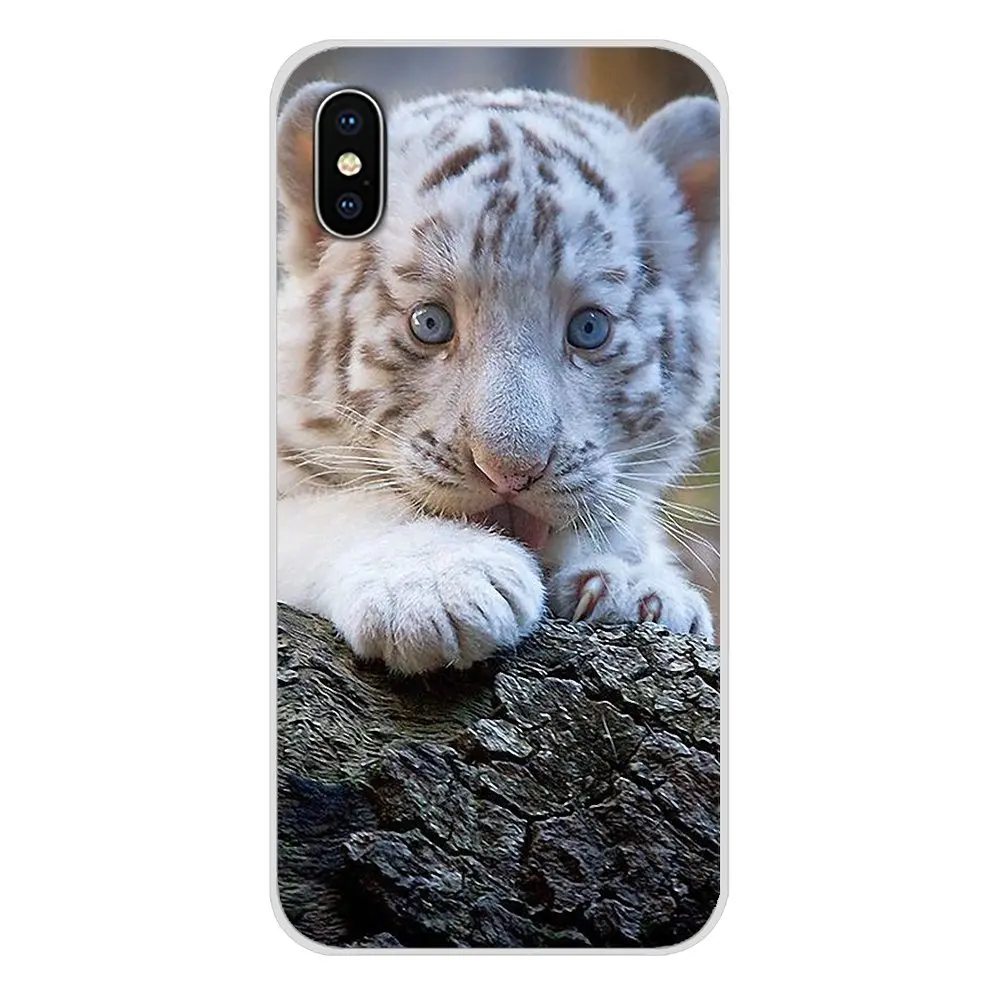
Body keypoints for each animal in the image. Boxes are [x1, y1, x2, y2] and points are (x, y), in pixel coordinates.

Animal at [276, 82, 721, 675]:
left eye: (589, 328)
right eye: (430, 323)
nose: (510, 473)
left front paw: (637, 587)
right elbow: (337, 508)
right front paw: (436, 582)